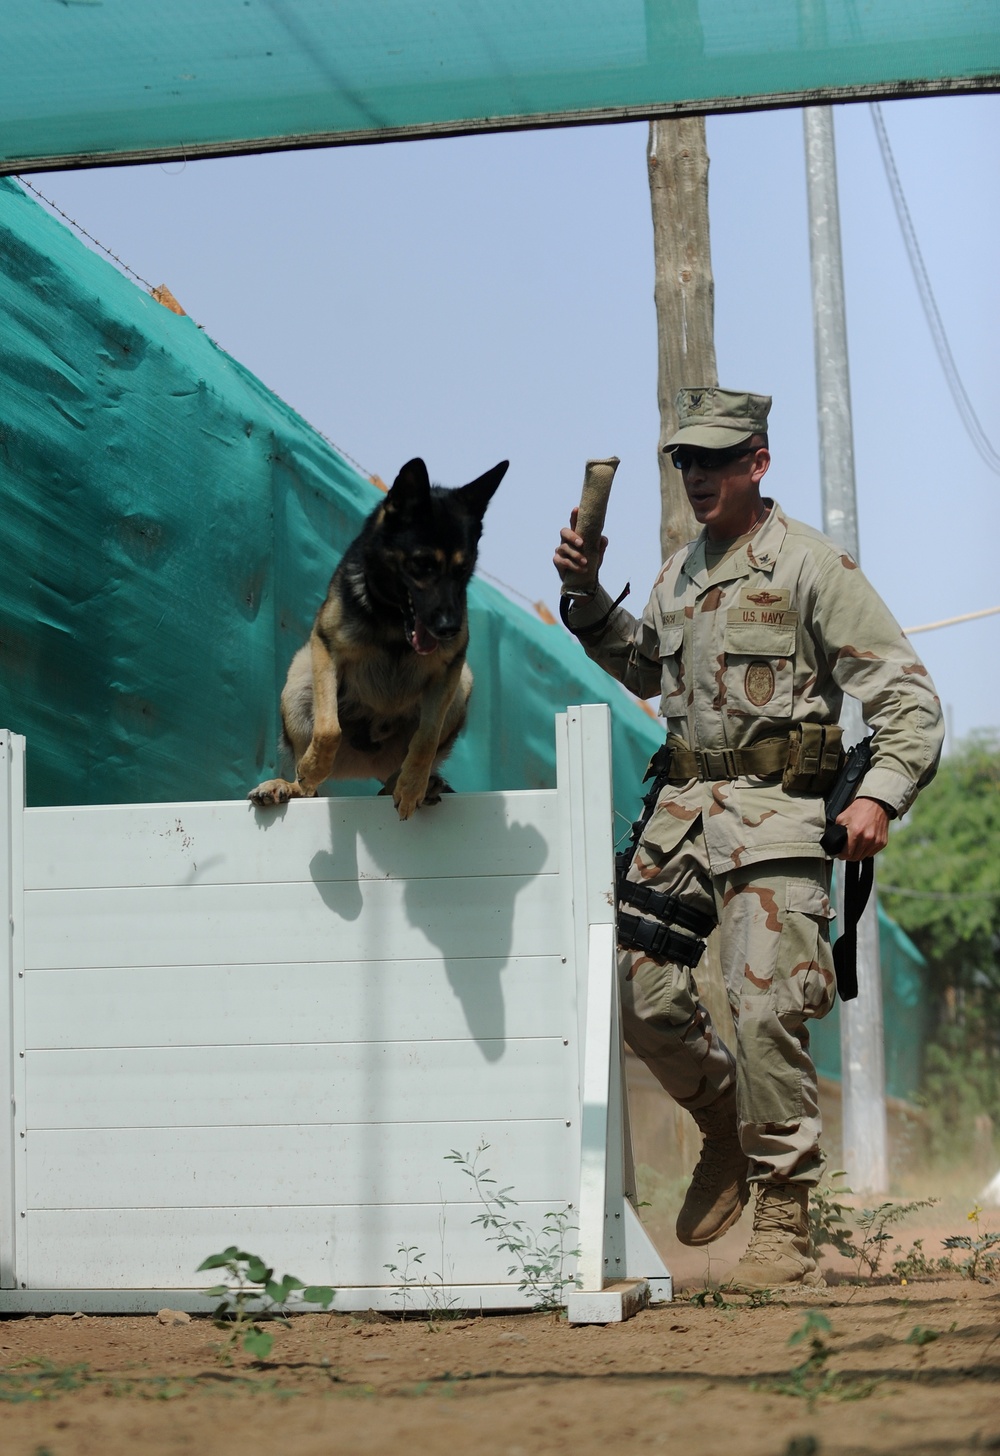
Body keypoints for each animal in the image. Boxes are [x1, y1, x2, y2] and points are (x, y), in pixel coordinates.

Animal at [247, 454, 503, 821]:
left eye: (463, 568)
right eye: (422, 564)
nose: (450, 628)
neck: (394, 624)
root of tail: (366, 764)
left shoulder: (449, 670)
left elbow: (425, 739)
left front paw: (412, 786)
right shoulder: (326, 648)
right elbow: (328, 729)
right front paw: (312, 767)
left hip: (462, 684)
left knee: (405, 762)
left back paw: (414, 784)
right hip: (298, 677)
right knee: (309, 788)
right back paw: (288, 785)